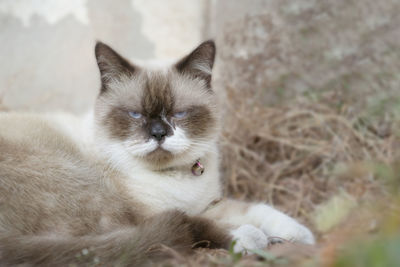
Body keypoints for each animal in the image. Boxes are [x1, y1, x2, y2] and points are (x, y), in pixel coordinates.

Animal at [0, 40, 312, 266]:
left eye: (179, 114)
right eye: (135, 114)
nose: (159, 134)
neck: (175, 178)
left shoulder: (207, 203)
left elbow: (257, 208)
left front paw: (301, 235)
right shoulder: (150, 213)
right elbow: (209, 220)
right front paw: (255, 236)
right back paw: (252, 239)